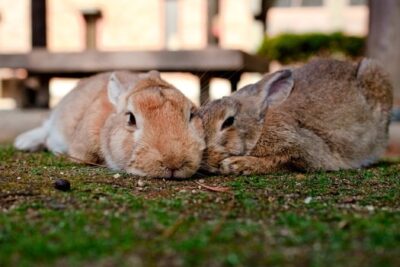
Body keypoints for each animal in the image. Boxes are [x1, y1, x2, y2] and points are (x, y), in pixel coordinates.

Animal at [198, 59, 392, 176]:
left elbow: (278, 160)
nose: (204, 158)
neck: (260, 128)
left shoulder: (302, 147)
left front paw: (236, 164)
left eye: (228, 121)